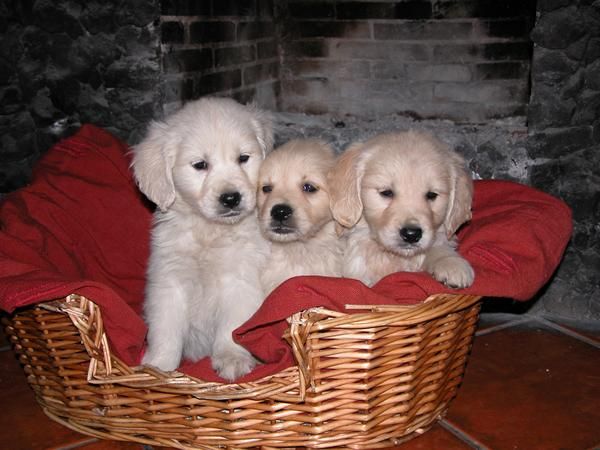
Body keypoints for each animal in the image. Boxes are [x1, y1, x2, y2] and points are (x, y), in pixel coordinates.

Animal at [132, 96, 274, 382]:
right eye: (200, 165)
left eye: (243, 158)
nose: (231, 198)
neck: (210, 231)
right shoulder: (169, 281)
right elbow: (165, 329)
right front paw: (159, 366)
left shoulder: (240, 281)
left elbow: (233, 326)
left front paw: (232, 359)